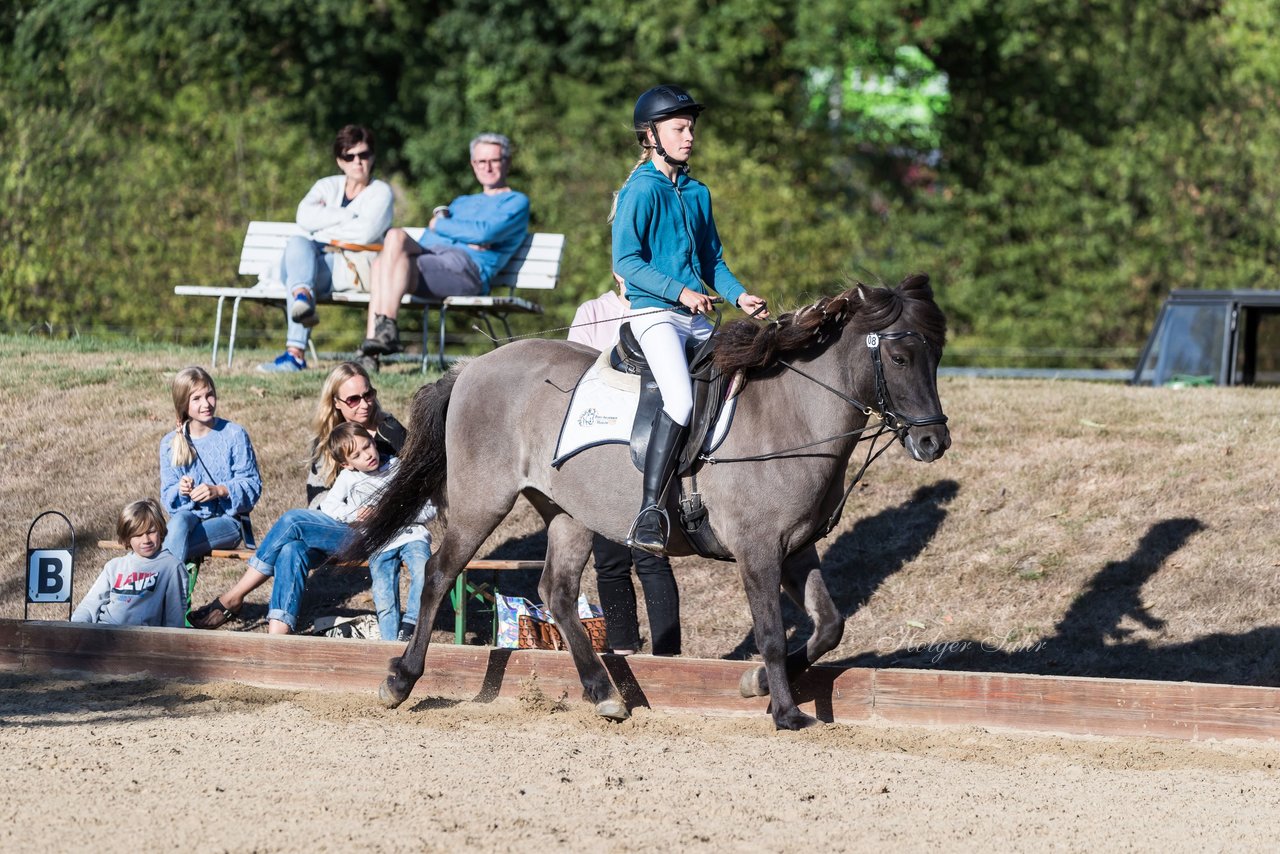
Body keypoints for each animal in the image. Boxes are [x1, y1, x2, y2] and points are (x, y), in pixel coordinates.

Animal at [348, 272, 952, 727]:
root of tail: (473, 366)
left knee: (557, 593)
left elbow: (829, 625)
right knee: (439, 574)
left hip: (567, 512)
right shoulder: (758, 549)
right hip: (483, 502)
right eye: (901, 357)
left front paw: (754, 684)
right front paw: (784, 712)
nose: (934, 443)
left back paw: (604, 693)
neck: (794, 413)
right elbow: (772, 634)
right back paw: (400, 680)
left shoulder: (796, 547)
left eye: (937, 354)